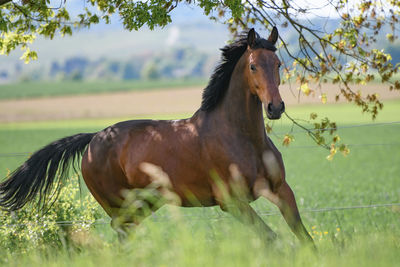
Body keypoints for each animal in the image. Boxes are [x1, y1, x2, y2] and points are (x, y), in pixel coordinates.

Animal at [0, 27, 312, 247]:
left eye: (278, 64)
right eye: (253, 66)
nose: (275, 107)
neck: (242, 138)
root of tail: (93, 139)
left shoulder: (281, 190)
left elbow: (303, 236)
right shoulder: (231, 202)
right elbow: (272, 239)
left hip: (145, 203)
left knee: (126, 236)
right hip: (119, 206)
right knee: (121, 234)